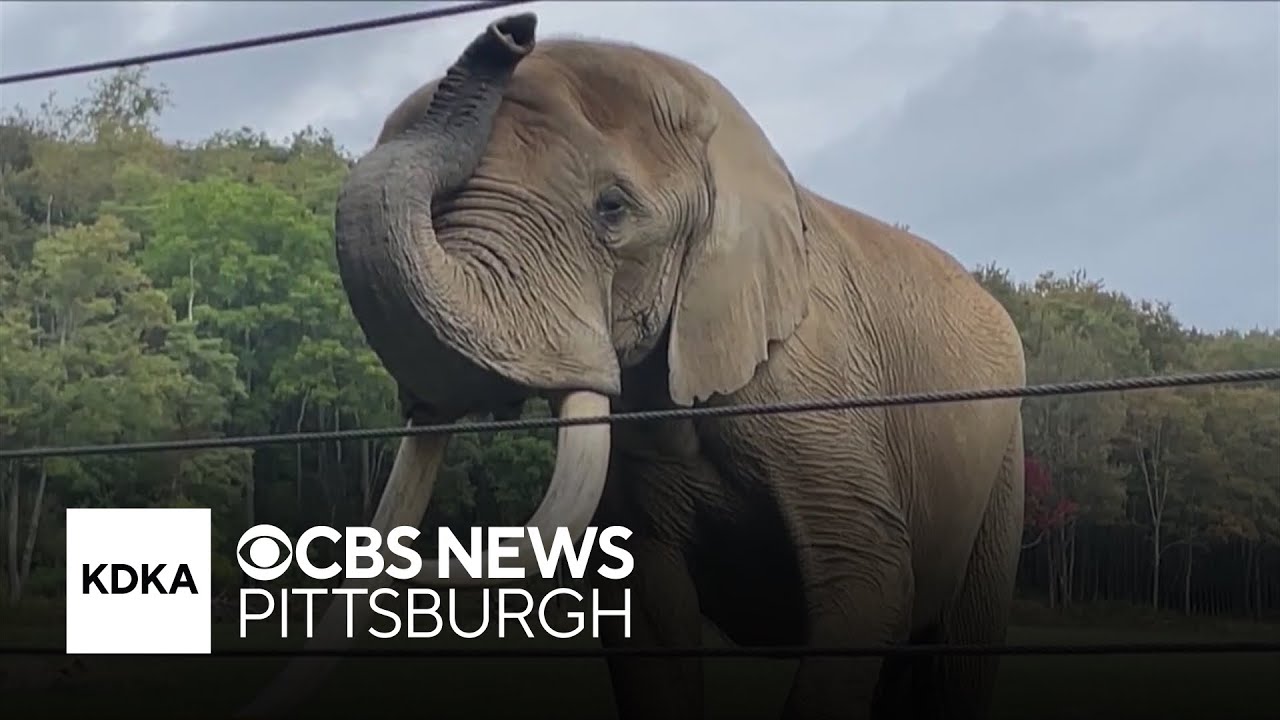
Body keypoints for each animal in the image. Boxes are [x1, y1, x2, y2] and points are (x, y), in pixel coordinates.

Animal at [237, 12, 1027, 720]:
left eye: (611, 210)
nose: (513, 30)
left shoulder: (814, 382)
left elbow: (867, 575)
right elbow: (648, 610)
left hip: (1004, 467)